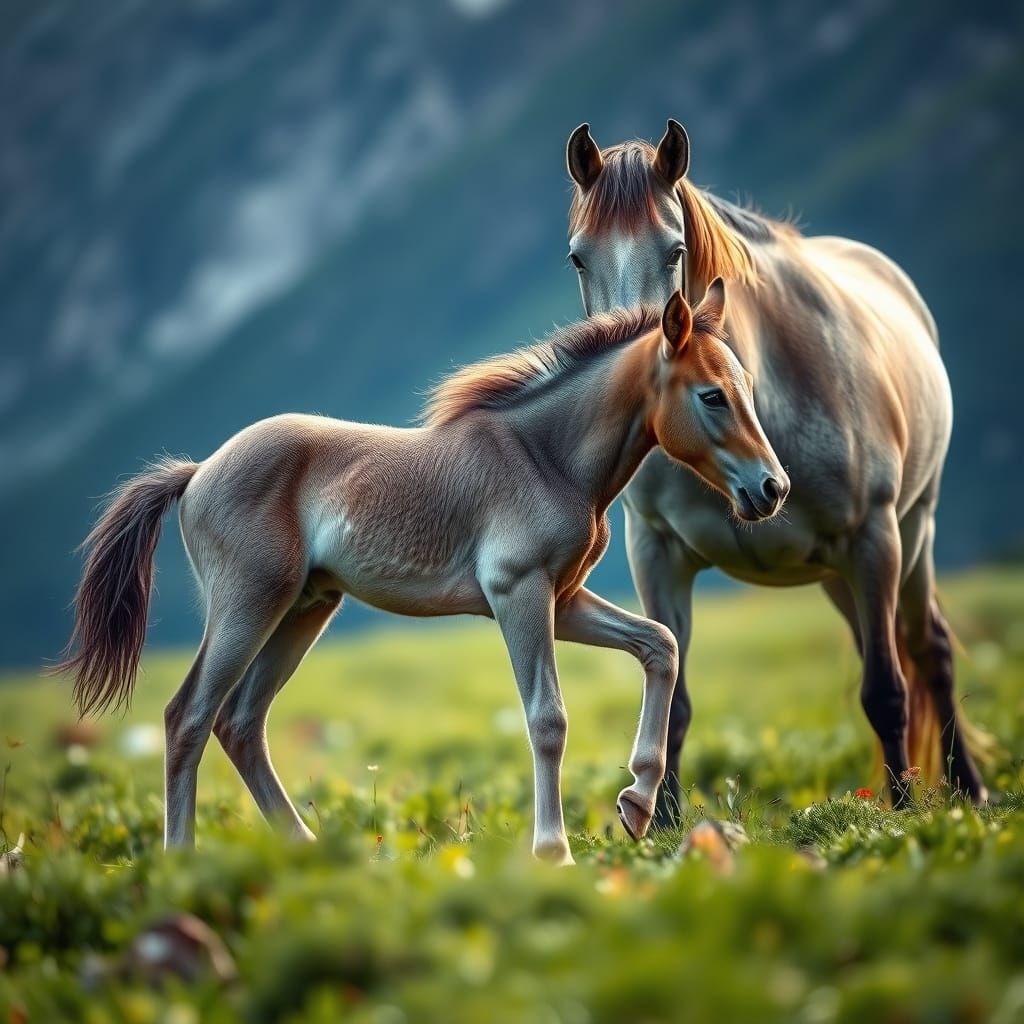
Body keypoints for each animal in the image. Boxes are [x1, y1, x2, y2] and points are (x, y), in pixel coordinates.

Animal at [58, 288, 787, 864]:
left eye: (749, 390)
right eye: (712, 396)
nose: (772, 489)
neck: (546, 456)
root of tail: (197, 470)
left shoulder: (566, 598)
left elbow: (658, 645)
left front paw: (635, 800)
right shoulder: (519, 593)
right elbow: (547, 718)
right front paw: (553, 850)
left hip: (304, 608)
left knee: (239, 723)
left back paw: (309, 851)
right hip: (248, 603)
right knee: (188, 715)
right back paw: (180, 862)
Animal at [564, 119, 987, 823]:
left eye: (675, 250)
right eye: (578, 257)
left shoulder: (871, 537)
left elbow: (886, 691)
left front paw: (902, 818)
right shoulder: (658, 553)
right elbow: (673, 698)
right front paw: (663, 824)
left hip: (910, 534)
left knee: (929, 651)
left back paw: (970, 791)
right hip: (842, 575)